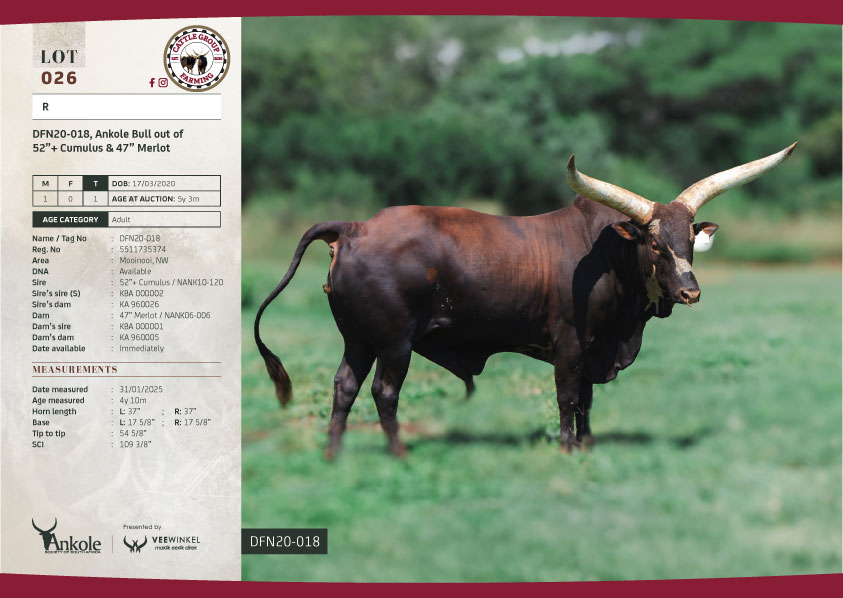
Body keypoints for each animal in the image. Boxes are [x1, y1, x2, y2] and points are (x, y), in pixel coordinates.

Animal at [254, 143, 796, 458]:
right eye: (656, 245)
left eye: (689, 242)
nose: (691, 291)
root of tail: (353, 227)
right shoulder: (571, 341)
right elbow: (568, 396)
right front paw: (567, 448)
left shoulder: (596, 345)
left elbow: (588, 399)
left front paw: (588, 443)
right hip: (394, 342)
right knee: (384, 393)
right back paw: (399, 453)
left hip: (358, 338)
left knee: (344, 388)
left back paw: (334, 455)